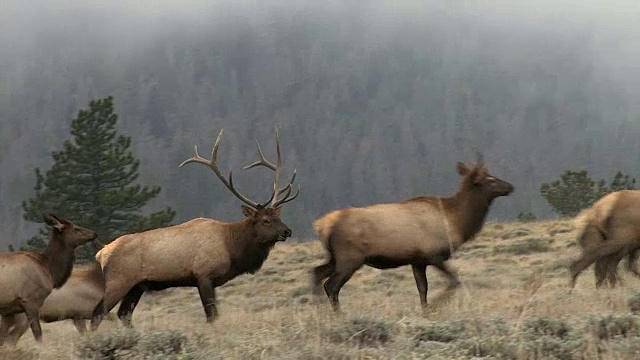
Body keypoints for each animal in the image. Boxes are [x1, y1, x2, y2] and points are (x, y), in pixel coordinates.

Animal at [0, 215, 96, 344]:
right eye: (76, 228)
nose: (94, 233)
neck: (49, 270)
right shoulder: (30, 301)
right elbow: (38, 332)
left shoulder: (8, 310)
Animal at [95, 129, 300, 326]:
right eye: (265, 220)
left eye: (278, 216)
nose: (287, 231)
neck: (231, 247)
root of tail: (102, 253)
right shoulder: (204, 274)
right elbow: (211, 314)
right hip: (118, 281)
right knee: (98, 312)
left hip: (137, 286)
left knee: (124, 314)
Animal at [312, 159, 516, 314]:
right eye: (489, 179)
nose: (510, 186)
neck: (456, 221)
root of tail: (322, 226)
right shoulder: (433, 255)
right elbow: (454, 280)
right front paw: (435, 306)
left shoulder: (417, 261)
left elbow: (422, 289)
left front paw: (425, 311)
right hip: (350, 258)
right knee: (331, 285)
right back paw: (337, 315)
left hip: (335, 257)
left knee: (316, 272)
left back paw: (319, 310)